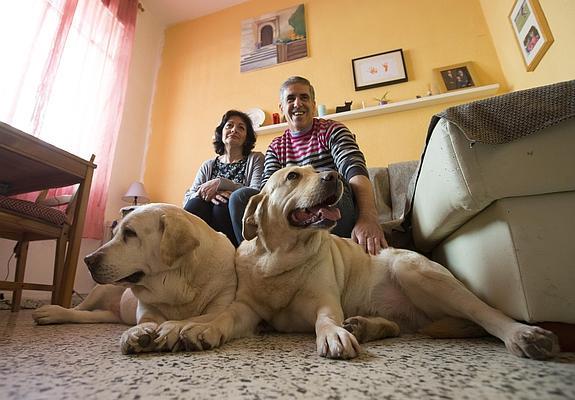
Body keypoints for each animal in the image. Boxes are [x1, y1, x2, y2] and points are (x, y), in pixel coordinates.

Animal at [32, 203, 236, 354]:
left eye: (130, 233)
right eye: (114, 234)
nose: (87, 260)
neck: (177, 282)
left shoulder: (221, 304)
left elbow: (196, 317)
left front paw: (171, 328)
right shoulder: (147, 306)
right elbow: (146, 319)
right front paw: (136, 333)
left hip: (108, 313)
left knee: (87, 316)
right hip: (100, 290)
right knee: (77, 310)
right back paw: (51, 312)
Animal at [177, 166, 564, 360]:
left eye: (316, 171)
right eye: (292, 176)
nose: (333, 176)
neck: (279, 256)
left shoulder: (324, 301)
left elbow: (325, 319)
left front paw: (333, 334)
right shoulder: (247, 308)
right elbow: (225, 316)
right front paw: (199, 328)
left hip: (416, 272)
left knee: (485, 312)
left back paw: (524, 334)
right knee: (396, 327)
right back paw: (364, 326)